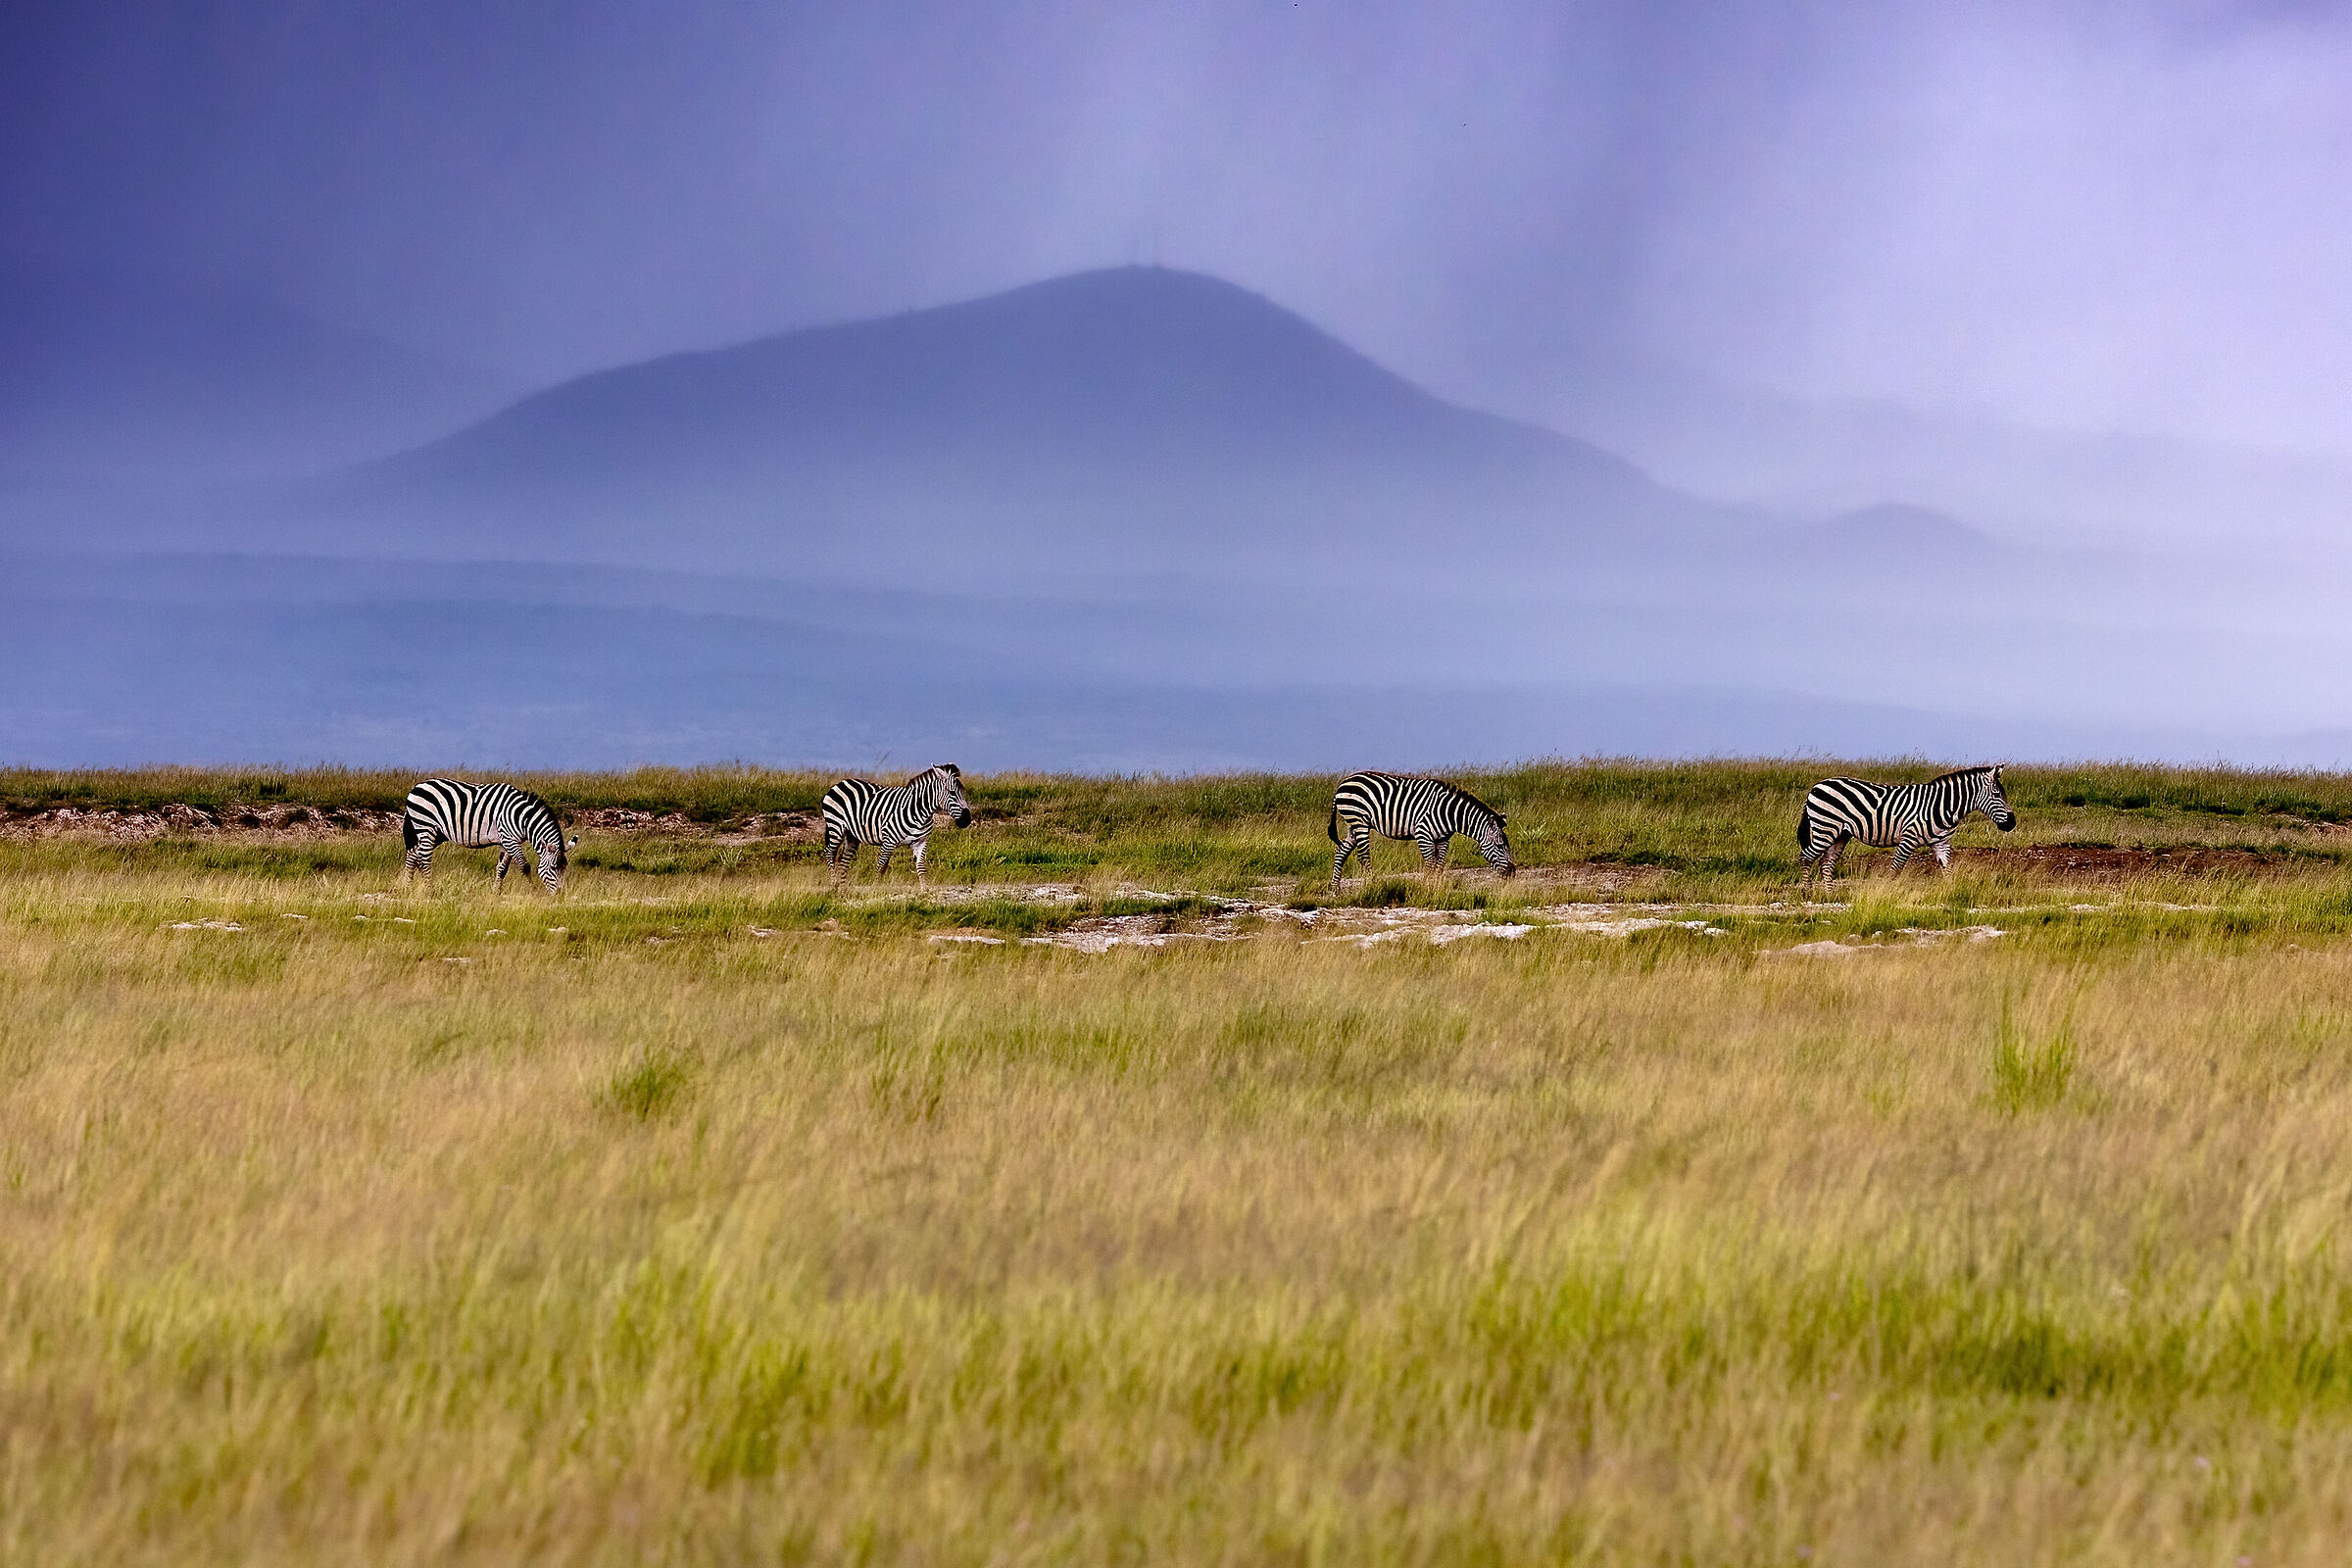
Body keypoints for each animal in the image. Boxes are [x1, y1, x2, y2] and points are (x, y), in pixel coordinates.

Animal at [401, 778, 579, 894]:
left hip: (436, 832)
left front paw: (496, 893)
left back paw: (408, 886)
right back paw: (429, 890)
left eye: (565, 868)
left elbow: (502, 869)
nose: (561, 895)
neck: (521, 817)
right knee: (424, 859)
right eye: (553, 868)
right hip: (426, 827)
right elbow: (525, 866)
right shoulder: (509, 839)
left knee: (413, 854)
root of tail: (417, 786)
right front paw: (533, 890)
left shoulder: (507, 841)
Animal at [821, 764, 975, 885]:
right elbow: (881, 867)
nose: (966, 820)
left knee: (844, 859)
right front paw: (875, 889)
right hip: (836, 827)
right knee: (829, 853)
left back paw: (843, 888)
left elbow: (921, 867)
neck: (920, 811)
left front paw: (926, 891)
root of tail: (841, 782)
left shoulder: (921, 842)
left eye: (964, 793)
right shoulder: (889, 840)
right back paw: (834, 885)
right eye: (952, 792)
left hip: (852, 835)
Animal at [1328, 771, 1514, 888]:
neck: (1448, 812)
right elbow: (1430, 864)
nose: (1512, 873)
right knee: (1364, 856)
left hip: (1353, 825)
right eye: (1499, 846)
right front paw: (1426, 888)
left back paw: (1335, 889)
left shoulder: (1443, 839)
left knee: (1341, 852)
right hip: (1359, 821)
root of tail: (1342, 784)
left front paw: (1437, 887)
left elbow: (1439, 865)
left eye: (1507, 846)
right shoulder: (1423, 834)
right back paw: (1373, 884)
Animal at [1797, 764, 2016, 889]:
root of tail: (1817, 786)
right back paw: (1808, 892)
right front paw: (1886, 894)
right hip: (1825, 828)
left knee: (1826, 863)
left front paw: (1952, 895)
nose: (2012, 823)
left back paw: (1829, 895)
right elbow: (1895, 870)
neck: (1944, 806)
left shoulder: (1942, 843)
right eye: (1997, 795)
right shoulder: (1908, 839)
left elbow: (1948, 871)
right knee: (1805, 857)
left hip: (1840, 834)